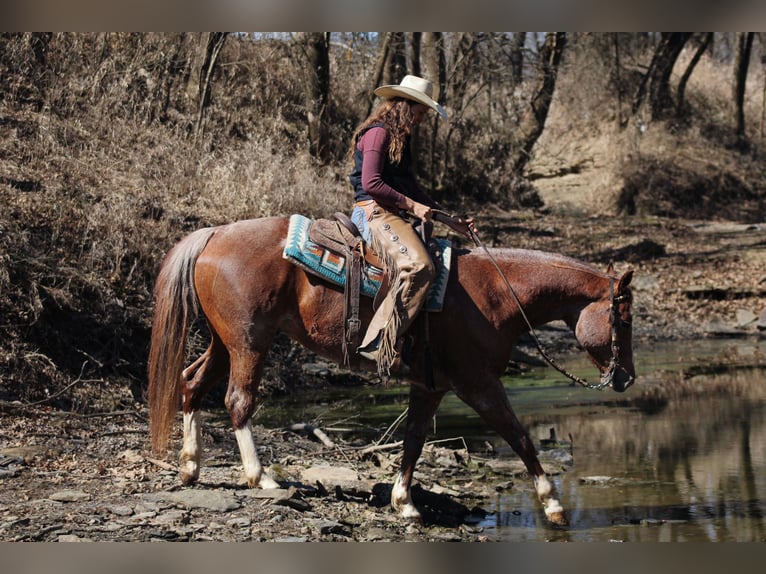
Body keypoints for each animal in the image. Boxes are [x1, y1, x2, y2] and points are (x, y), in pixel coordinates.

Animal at [148, 215, 634, 526]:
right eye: (624, 318)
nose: (626, 377)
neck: (495, 293)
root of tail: (215, 234)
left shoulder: (431, 387)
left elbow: (414, 440)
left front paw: (405, 504)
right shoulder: (478, 383)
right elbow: (518, 436)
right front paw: (553, 506)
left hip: (223, 342)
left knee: (191, 383)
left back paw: (190, 467)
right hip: (250, 342)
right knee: (238, 400)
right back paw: (260, 476)